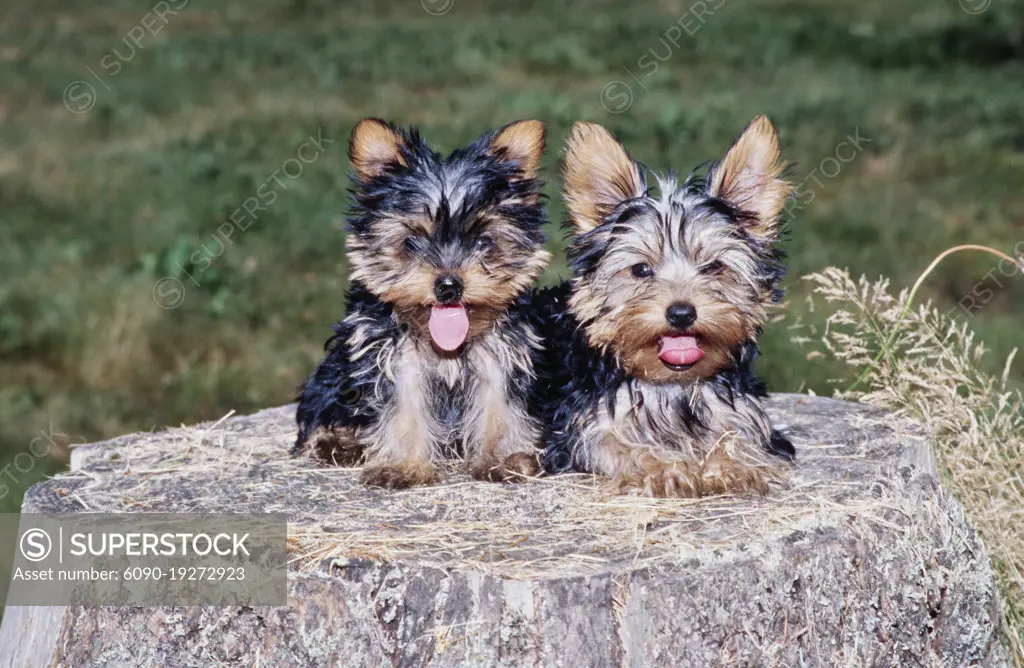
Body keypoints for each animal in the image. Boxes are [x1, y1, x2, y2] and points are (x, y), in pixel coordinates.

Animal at [294, 118, 552, 485]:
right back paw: (338, 442)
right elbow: (404, 409)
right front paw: (403, 466)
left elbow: (500, 404)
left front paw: (502, 458)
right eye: (412, 241)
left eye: (484, 241)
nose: (449, 285)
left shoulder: (501, 352)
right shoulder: (395, 359)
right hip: (332, 375)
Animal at [540, 117, 794, 497]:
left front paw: (734, 464)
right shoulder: (582, 425)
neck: (673, 386)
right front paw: (664, 468)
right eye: (641, 270)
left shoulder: (737, 409)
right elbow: (618, 443)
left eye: (714, 267)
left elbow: (738, 432)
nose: (681, 313)